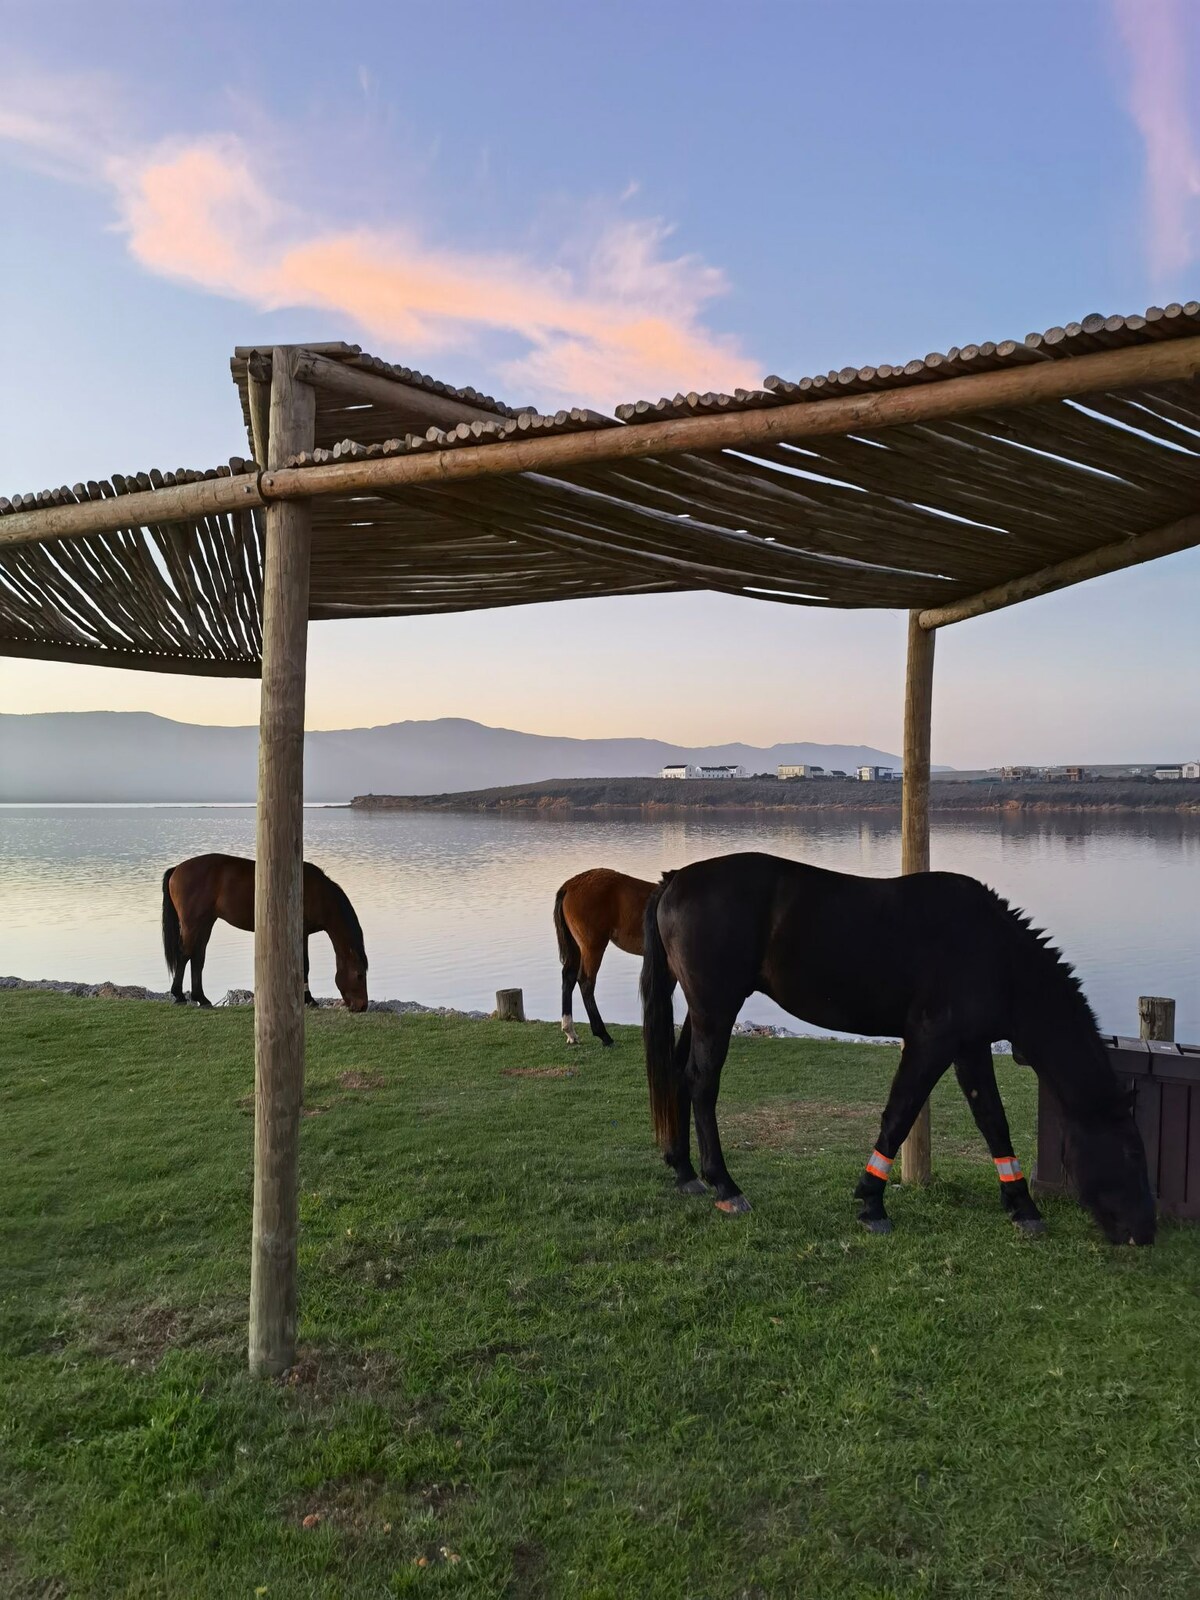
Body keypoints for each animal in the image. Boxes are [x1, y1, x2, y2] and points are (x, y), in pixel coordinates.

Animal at [160, 857, 369, 1004]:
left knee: (197, 957)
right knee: (184, 954)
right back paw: (179, 995)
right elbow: (305, 964)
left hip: (205, 923)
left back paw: (201, 998)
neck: (319, 893)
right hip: (192, 924)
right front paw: (308, 999)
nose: (362, 1006)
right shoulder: (301, 932)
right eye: (359, 975)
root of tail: (177, 869)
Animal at [556, 870, 659, 1043]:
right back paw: (603, 1034)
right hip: (593, 948)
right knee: (586, 983)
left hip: (577, 947)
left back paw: (570, 1031)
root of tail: (569, 885)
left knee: (568, 977)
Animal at [643, 851, 1158, 1248]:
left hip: (701, 1010)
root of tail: (675, 879)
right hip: (717, 1007)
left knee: (680, 1075)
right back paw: (724, 1185)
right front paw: (872, 1202)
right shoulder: (932, 1040)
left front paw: (1022, 1207)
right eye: (1133, 1152)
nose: (1145, 1233)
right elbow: (900, 1113)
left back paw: (685, 1172)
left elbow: (992, 1120)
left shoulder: (970, 1046)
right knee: (702, 1082)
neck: (995, 953)